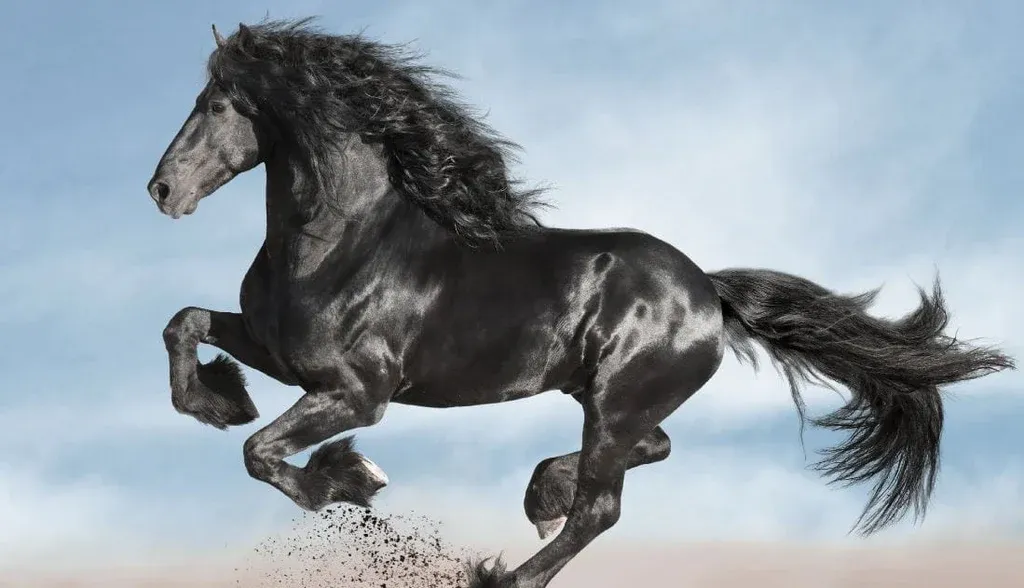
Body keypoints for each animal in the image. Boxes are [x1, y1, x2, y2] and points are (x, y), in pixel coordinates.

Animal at [146, 18, 1015, 588]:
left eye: (217, 103)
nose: (161, 189)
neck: (344, 241)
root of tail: (708, 290)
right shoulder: (281, 353)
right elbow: (185, 326)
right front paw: (220, 400)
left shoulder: (358, 392)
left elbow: (262, 454)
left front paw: (351, 478)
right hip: (604, 399)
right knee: (644, 454)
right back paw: (541, 492)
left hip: (618, 400)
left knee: (604, 509)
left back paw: (503, 572)